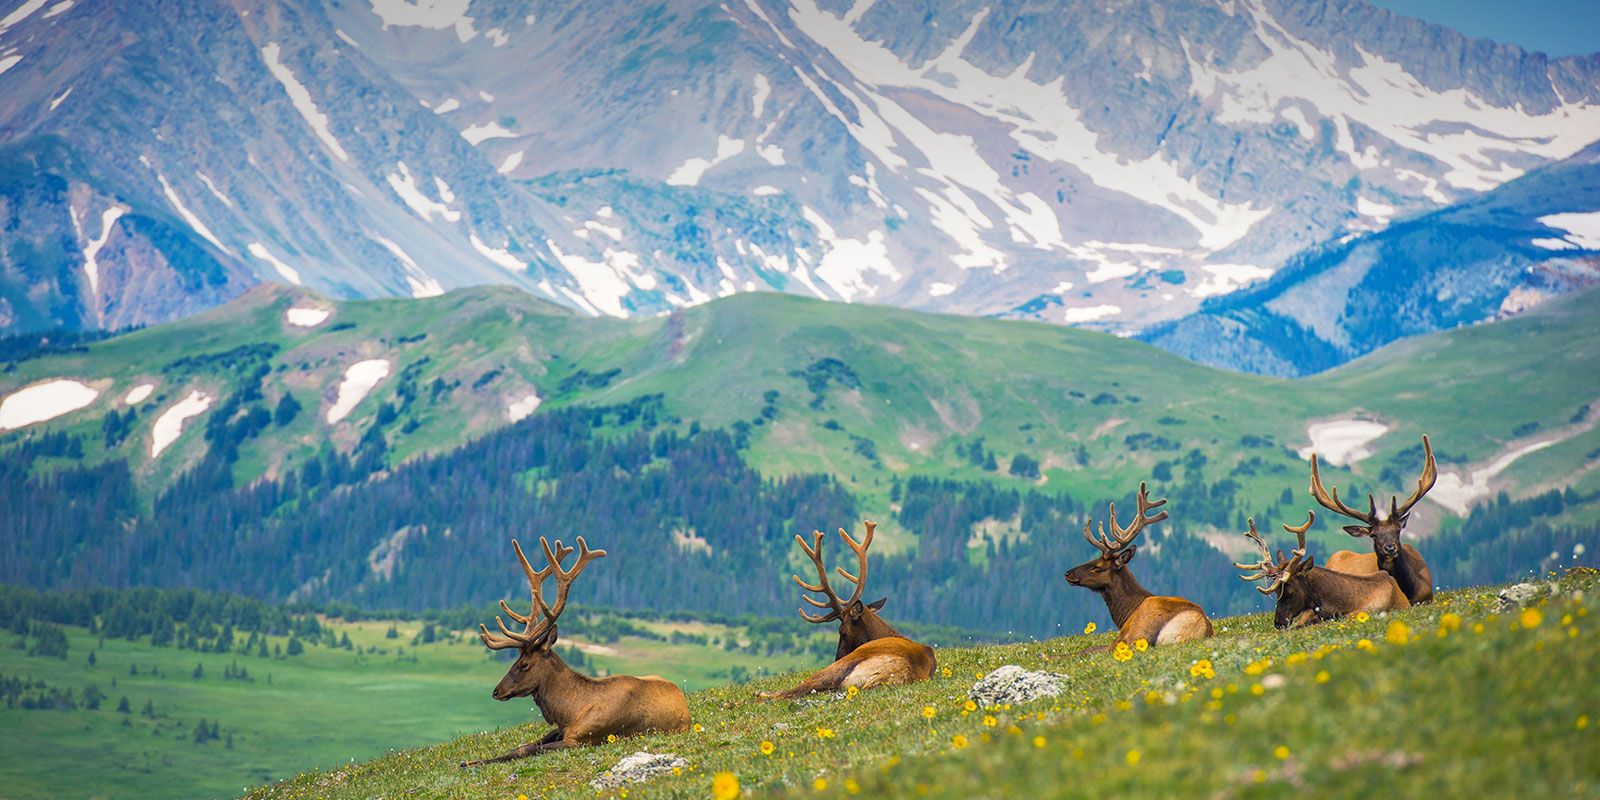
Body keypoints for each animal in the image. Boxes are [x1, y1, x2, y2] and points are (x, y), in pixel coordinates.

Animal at [460, 537, 691, 766]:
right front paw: (469, 762)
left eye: (524, 664)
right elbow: (522, 747)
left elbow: (527, 750)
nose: (496, 691)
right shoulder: (560, 730)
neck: (570, 712)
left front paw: (470, 763)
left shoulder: (581, 739)